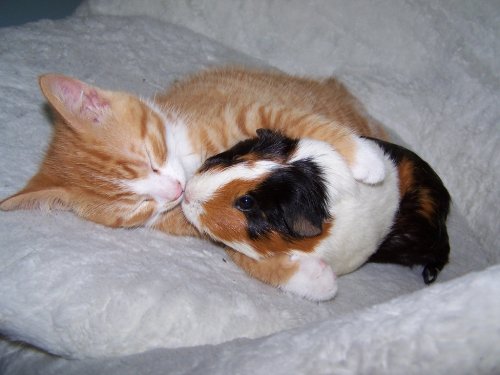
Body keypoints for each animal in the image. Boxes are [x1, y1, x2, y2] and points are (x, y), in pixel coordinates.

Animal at [0, 68, 388, 294]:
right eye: (138, 207)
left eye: (151, 158)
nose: (176, 189)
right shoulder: (193, 218)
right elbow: (238, 247)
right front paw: (310, 279)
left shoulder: (252, 112)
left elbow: (300, 122)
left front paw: (364, 160)